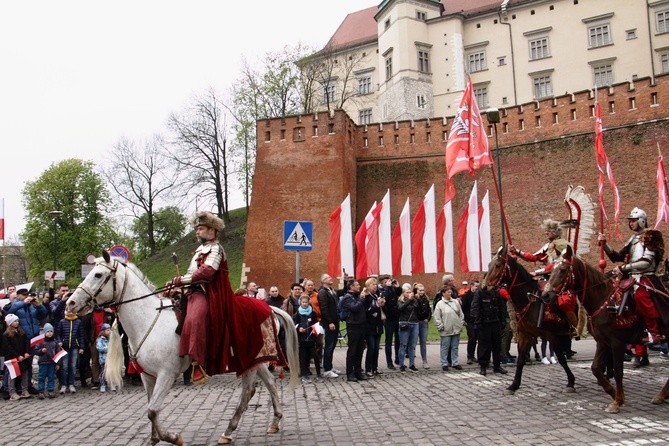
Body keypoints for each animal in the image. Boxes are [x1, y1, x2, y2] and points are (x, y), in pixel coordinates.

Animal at [67, 251, 298, 446]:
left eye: (98, 274)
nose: (70, 303)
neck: (148, 320)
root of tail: (269, 307)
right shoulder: (147, 376)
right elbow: (150, 407)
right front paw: (154, 439)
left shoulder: (166, 374)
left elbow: (152, 410)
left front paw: (173, 437)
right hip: (256, 360)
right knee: (269, 383)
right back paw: (273, 422)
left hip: (248, 362)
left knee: (248, 392)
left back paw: (228, 431)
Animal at [486, 246, 576, 396]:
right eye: (488, 265)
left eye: (498, 265)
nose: (485, 287)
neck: (531, 300)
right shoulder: (525, 335)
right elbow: (521, 360)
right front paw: (514, 385)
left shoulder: (552, 335)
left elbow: (562, 359)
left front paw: (571, 381)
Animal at [544, 246, 668, 412]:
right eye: (551, 270)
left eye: (563, 270)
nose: (545, 295)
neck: (603, 299)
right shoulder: (602, 342)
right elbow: (595, 368)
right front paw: (614, 393)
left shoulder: (617, 343)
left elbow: (618, 371)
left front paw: (617, 401)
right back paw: (661, 395)